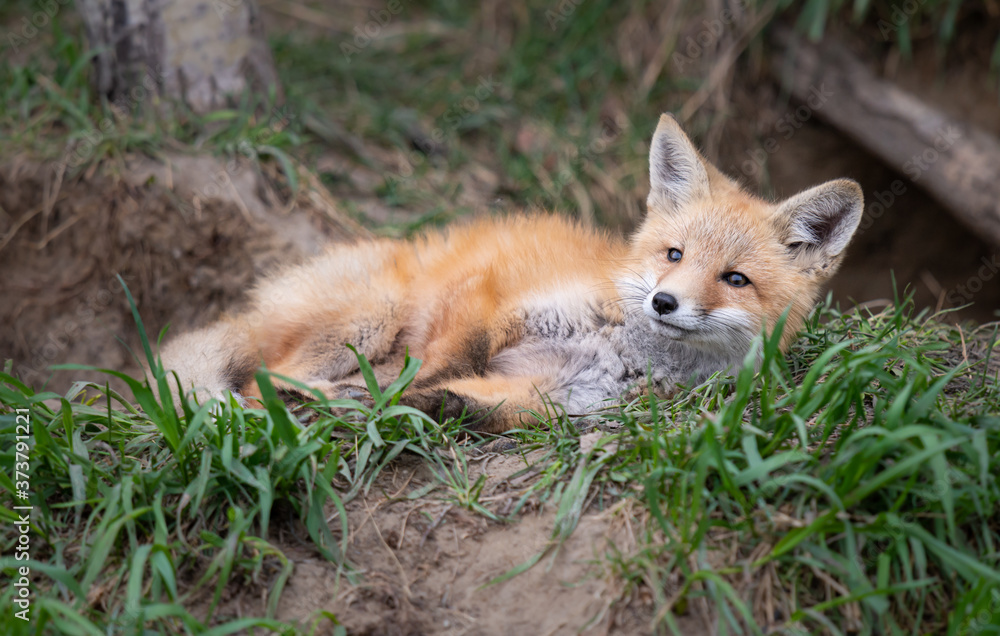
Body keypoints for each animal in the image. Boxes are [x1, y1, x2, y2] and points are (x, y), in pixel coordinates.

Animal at [159, 114, 864, 433]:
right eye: (675, 256)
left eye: (735, 279)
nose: (664, 303)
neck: (617, 345)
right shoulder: (486, 297)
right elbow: (444, 359)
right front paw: (396, 392)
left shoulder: (551, 400)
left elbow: (464, 402)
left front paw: (416, 404)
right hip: (373, 315)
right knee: (264, 382)